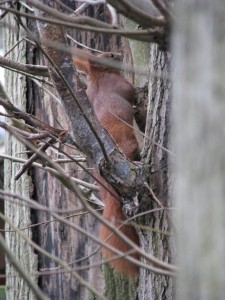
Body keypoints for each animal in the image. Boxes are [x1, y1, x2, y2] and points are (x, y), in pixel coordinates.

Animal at [74, 51, 139, 276]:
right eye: (110, 55)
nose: (119, 54)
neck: (99, 77)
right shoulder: (121, 85)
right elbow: (131, 92)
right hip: (128, 144)